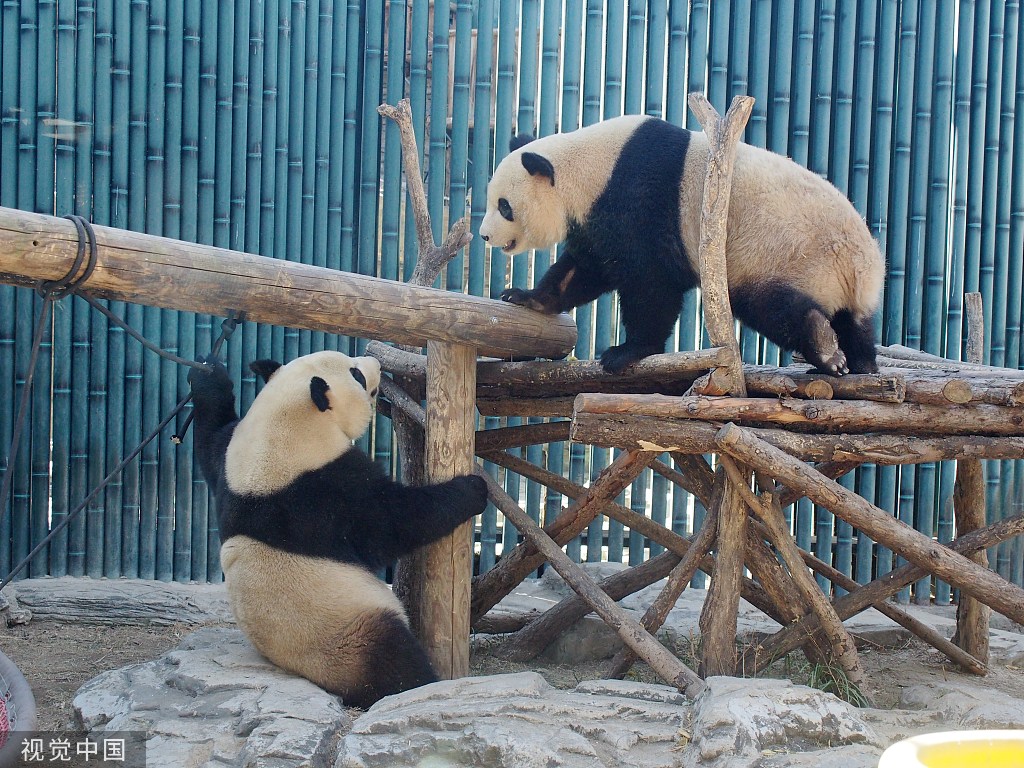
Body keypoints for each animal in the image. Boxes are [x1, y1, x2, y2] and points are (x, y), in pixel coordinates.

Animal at [190, 350, 489, 708]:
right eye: (356, 374)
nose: (375, 361)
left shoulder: (229, 465)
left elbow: (210, 438)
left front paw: (208, 373)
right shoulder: (321, 495)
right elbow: (394, 522)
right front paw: (474, 488)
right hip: (349, 631)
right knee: (391, 658)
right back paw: (420, 684)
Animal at [479, 114, 888, 376]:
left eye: (504, 206)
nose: (484, 235)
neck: (584, 168)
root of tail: (862, 268)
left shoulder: (638, 200)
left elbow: (650, 283)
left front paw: (625, 353)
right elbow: (583, 271)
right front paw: (525, 297)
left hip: (785, 256)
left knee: (772, 306)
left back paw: (824, 347)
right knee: (854, 323)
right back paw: (859, 363)